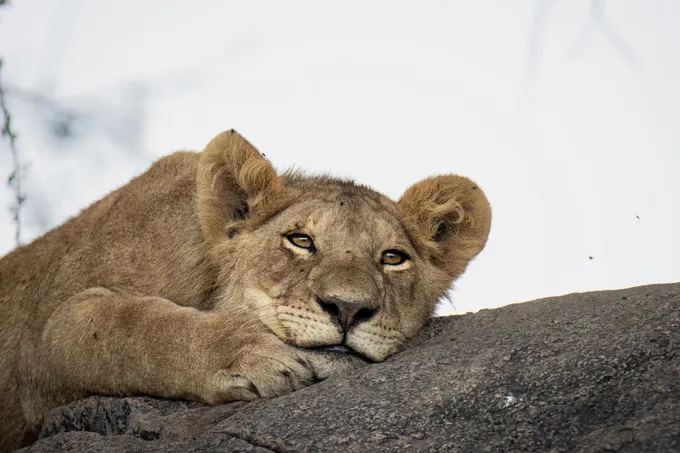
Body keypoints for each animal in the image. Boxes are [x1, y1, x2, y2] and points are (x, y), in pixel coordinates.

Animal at [0, 130, 491, 451]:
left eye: (392, 257)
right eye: (301, 240)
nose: (348, 309)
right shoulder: (40, 353)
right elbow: (136, 328)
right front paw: (254, 356)